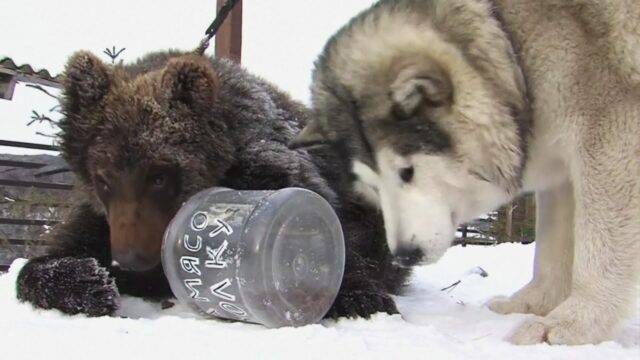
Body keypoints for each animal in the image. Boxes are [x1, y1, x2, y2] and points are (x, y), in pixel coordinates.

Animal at [292, 0, 640, 346]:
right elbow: (550, 255)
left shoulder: (609, 138)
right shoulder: (562, 172)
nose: (403, 255)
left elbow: (596, 253)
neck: (511, 50)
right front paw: (532, 305)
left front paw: (575, 322)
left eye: (406, 172)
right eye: (372, 185)